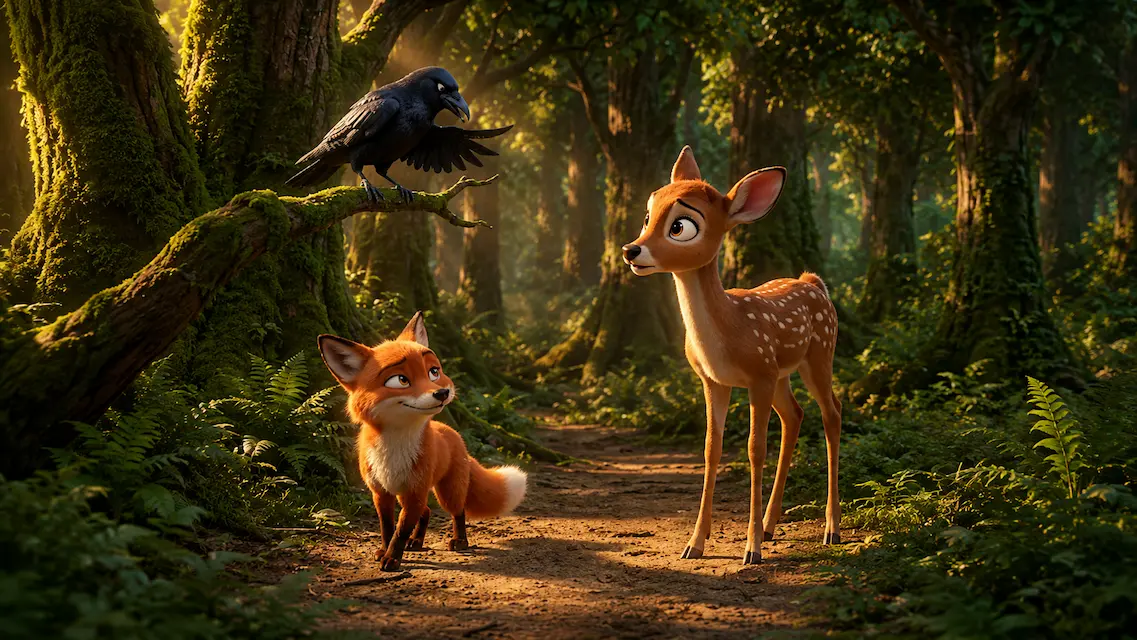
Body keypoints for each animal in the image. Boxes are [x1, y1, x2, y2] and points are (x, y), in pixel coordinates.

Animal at [318, 312, 527, 572]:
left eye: (433, 372)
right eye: (400, 380)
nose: (442, 393)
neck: (395, 445)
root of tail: (452, 432)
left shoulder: (414, 490)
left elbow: (400, 531)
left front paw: (392, 559)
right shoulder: (381, 493)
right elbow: (388, 528)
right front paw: (385, 550)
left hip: (447, 491)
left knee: (458, 511)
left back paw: (460, 541)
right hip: (408, 494)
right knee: (426, 512)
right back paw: (417, 541)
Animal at [621, 146, 842, 564]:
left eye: (682, 226)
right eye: (647, 215)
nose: (631, 250)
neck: (727, 328)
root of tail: (813, 282)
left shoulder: (757, 375)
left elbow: (755, 449)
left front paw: (750, 550)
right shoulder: (714, 380)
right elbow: (712, 448)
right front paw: (695, 543)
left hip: (819, 353)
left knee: (831, 413)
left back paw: (831, 530)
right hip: (781, 372)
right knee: (795, 415)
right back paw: (771, 526)